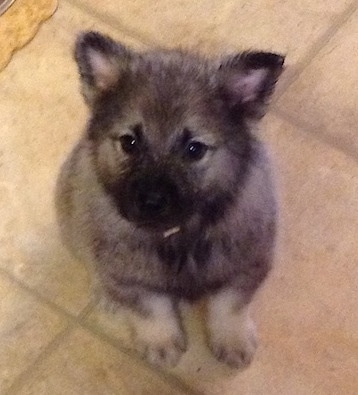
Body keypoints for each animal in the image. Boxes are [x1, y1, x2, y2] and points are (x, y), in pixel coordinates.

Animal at [55, 31, 286, 372]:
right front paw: (161, 343)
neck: (180, 234)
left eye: (194, 149)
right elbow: (151, 308)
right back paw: (105, 294)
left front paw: (233, 340)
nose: (151, 201)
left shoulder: (246, 266)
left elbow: (229, 305)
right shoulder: (132, 280)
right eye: (129, 142)